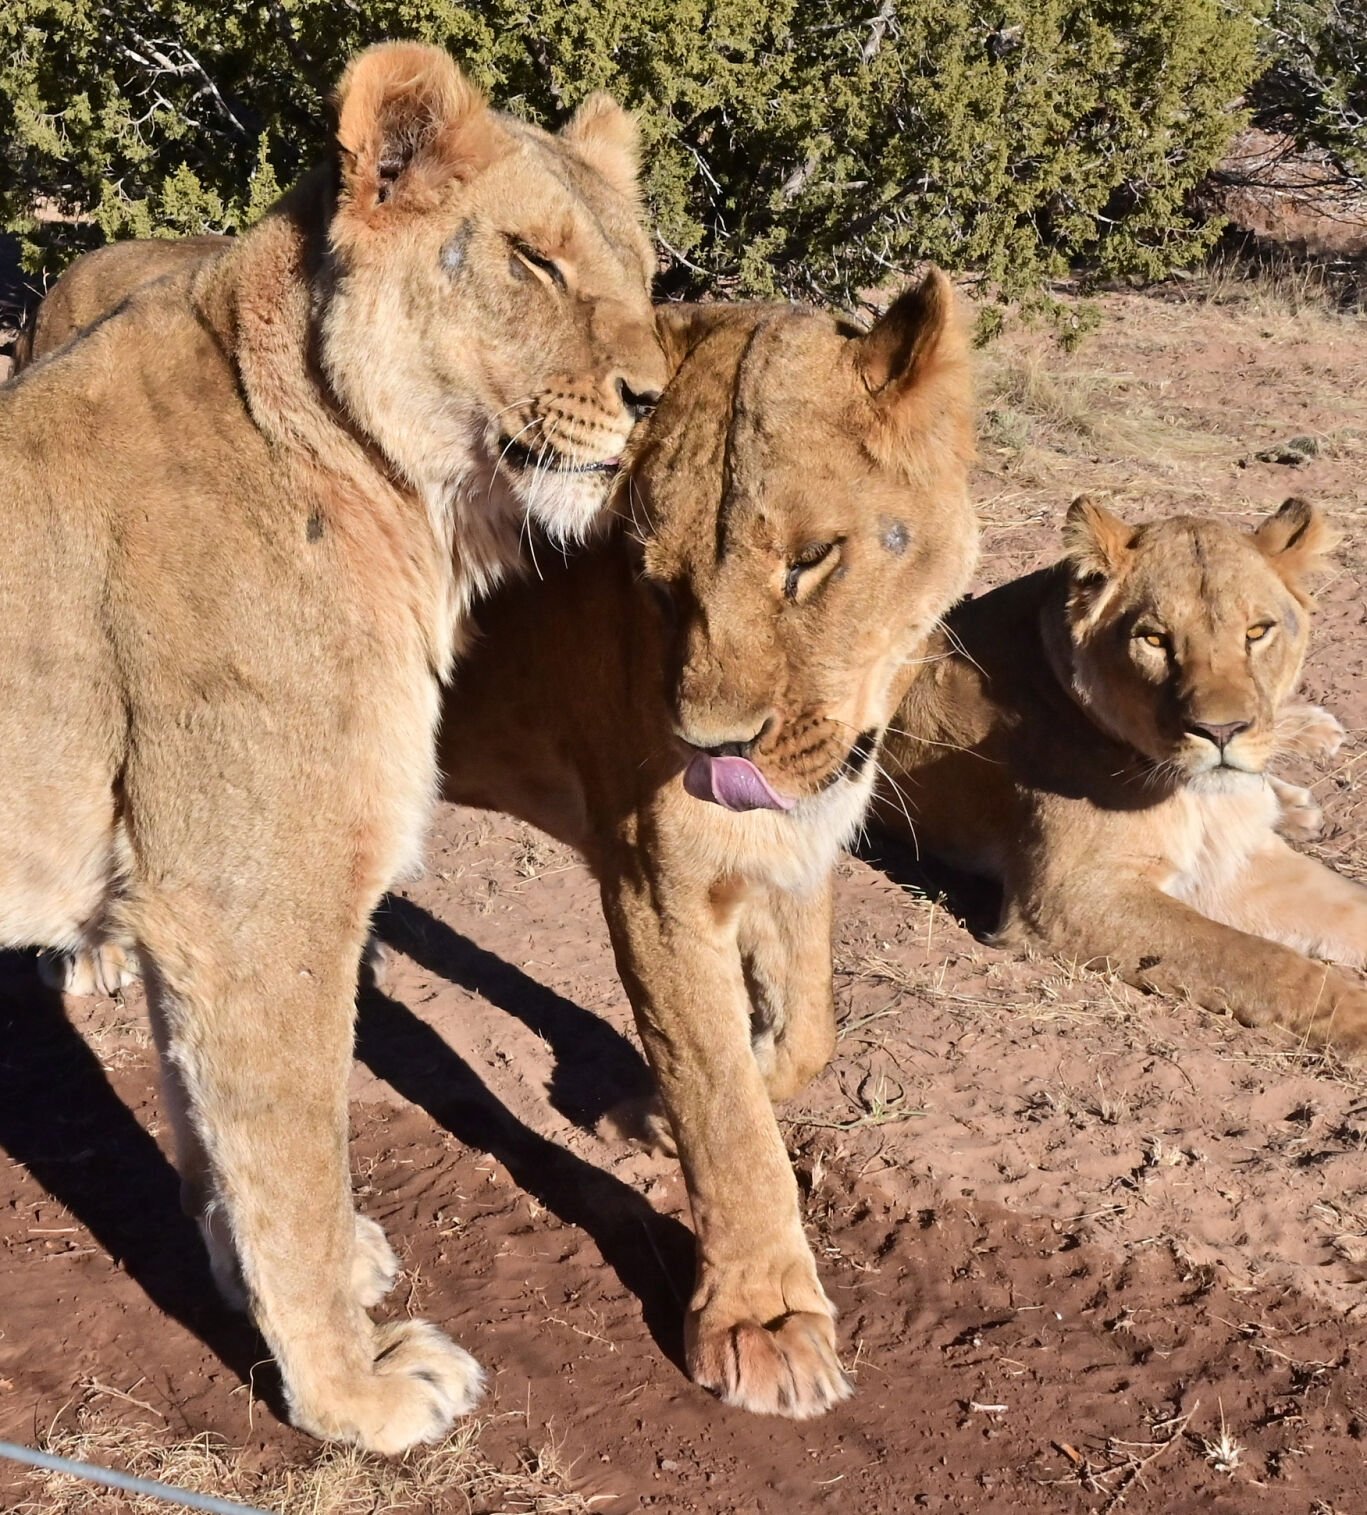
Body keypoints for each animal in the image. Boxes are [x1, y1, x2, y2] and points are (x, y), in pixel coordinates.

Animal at [0, 40, 663, 1453]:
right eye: (533, 260)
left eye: (644, 273)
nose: (653, 401)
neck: (407, 507)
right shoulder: (257, 907)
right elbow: (293, 1156)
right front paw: (355, 1392)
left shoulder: (192, 905)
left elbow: (215, 1133)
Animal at [24, 246, 978, 1417]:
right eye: (656, 583)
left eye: (811, 559)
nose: (709, 746)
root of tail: (85, 260)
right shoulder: (654, 871)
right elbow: (724, 1105)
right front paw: (762, 1319)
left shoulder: (791, 843)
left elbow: (800, 1033)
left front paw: (649, 1111)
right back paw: (95, 955)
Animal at [877, 498, 1367, 1052]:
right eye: (1154, 639)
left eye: (1258, 632)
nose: (1221, 732)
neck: (1195, 795)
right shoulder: (1069, 897)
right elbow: (1261, 961)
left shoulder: (1238, 857)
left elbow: (1348, 908)